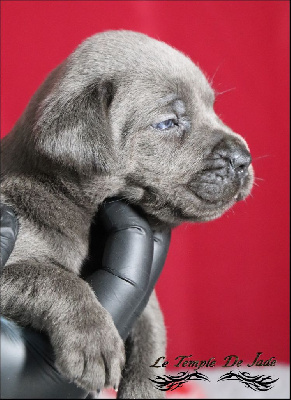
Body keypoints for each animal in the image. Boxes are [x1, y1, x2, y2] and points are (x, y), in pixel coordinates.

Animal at [0, 31, 253, 396]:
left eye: (212, 108)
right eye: (167, 123)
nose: (244, 158)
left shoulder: (144, 298)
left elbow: (152, 337)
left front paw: (143, 388)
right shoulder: (13, 261)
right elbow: (56, 279)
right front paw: (94, 345)